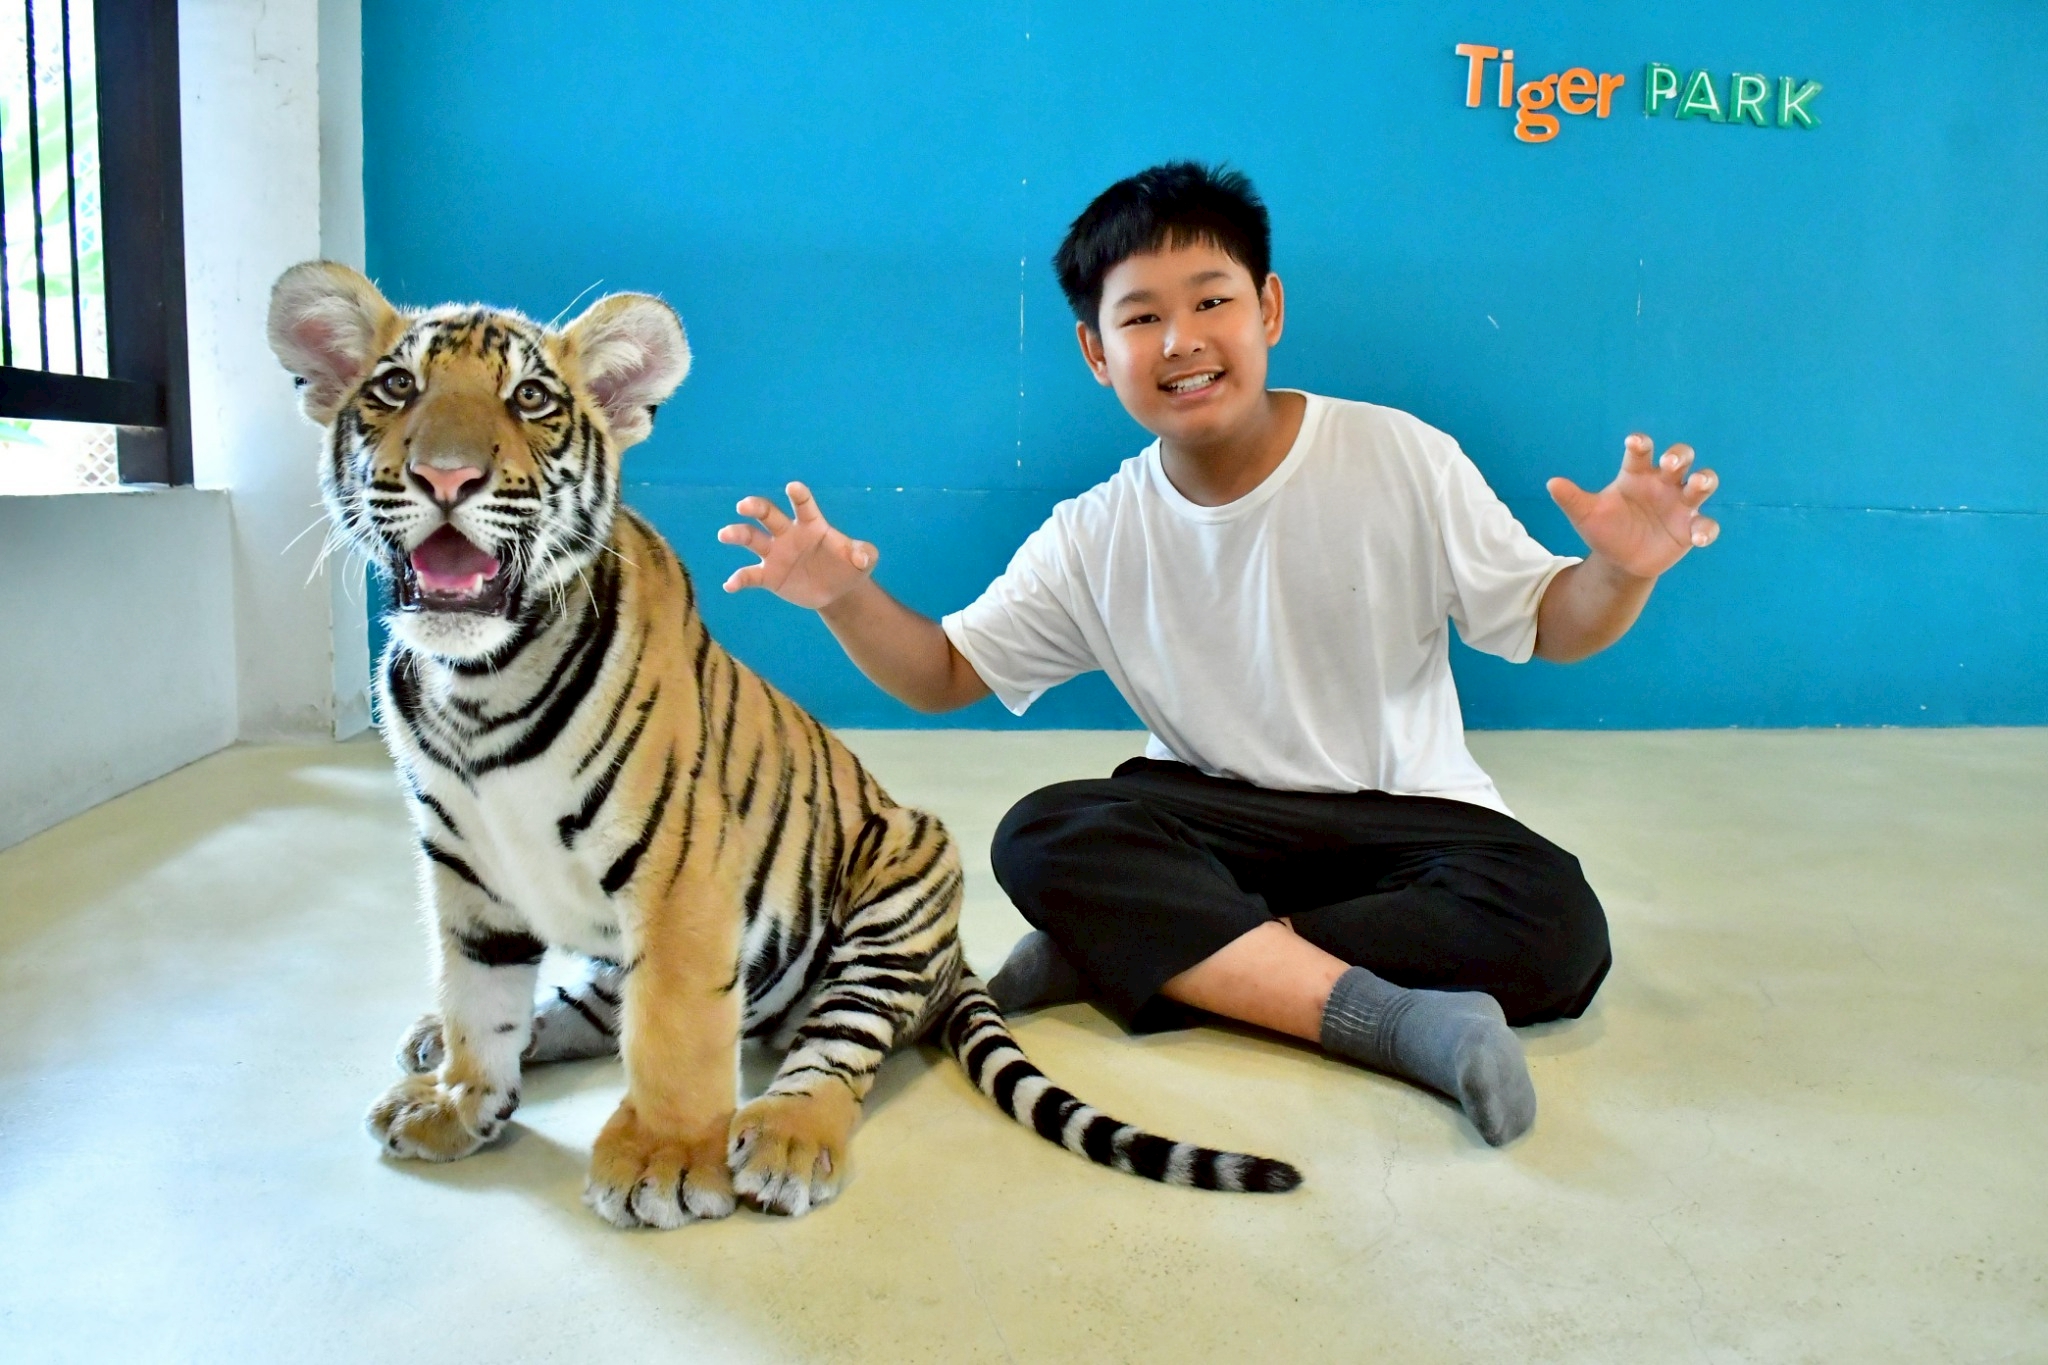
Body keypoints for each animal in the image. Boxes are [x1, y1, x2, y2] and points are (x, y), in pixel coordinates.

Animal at [264, 260, 1301, 1228]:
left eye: (531, 400)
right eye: (396, 387)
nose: (446, 478)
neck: (478, 683)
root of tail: (953, 958)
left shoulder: (681, 870)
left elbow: (676, 1027)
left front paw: (663, 1161)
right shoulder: (466, 868)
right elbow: (481, 1000)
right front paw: (457, 1101)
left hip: (896, 893)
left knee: (835, 1047)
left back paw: (782, 1141)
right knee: (584, 1010)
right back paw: (432, 1047)